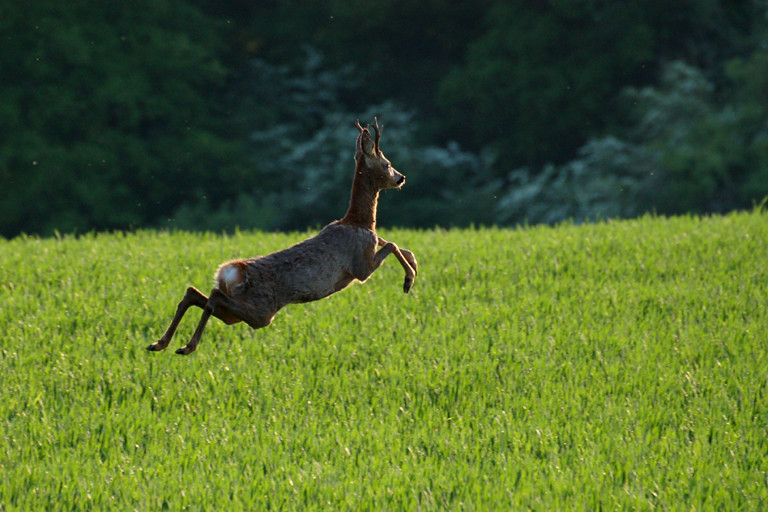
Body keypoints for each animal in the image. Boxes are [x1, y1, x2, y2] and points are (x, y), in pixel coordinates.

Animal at [146, 117, 416, 354]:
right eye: (387, 164)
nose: (401, 178)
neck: (359, 222)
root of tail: (229, 272)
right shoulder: (360, 267)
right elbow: (391, 244)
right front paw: (409, 279)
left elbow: (392, 243)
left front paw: (413, 265)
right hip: (262, 311)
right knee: (213, 297)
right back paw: (186, 347)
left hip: (243, 314)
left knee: (195, 294)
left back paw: (160, 344)